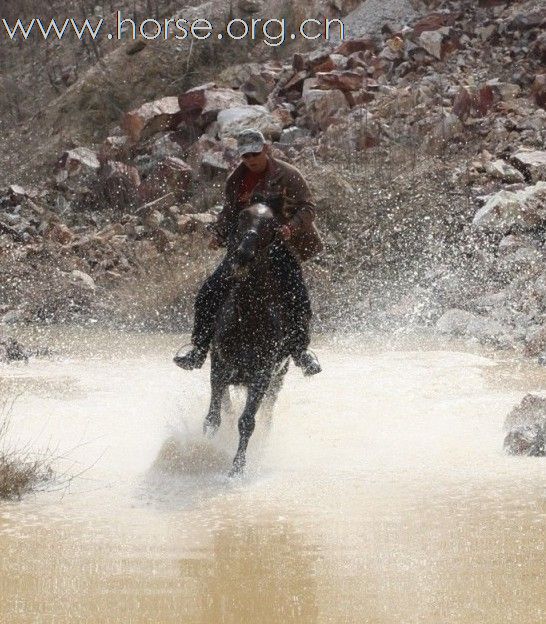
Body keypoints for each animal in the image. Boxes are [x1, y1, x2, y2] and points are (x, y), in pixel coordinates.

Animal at [202, 202, 292, 476]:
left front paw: (237, 468)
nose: (243, 254)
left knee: (266, 416)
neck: (248, 319)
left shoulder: (263, 374)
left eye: (271, 225)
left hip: (278, 378)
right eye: (242, 217)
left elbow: (247, 421)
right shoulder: (219, 367)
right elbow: (214, 418)